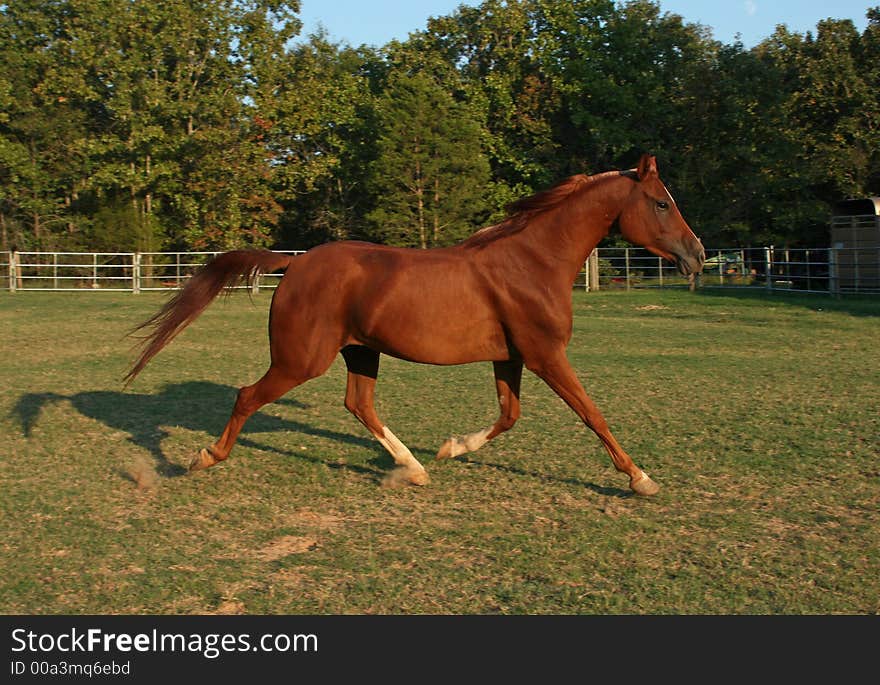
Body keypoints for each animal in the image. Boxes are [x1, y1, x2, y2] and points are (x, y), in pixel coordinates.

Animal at [125, 155, 700, 494]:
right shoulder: (545, 355)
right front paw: (641, 478)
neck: (532, 262)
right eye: (661, 203)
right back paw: (203, 458)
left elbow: (509, 416)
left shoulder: (511, 356)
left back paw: (415, 469)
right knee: (248, 396)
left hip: (360, 351)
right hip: (300, 360)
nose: (696, 255)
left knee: (359, 404)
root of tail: (296, 261)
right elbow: (591, 414)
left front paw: (450, 448)